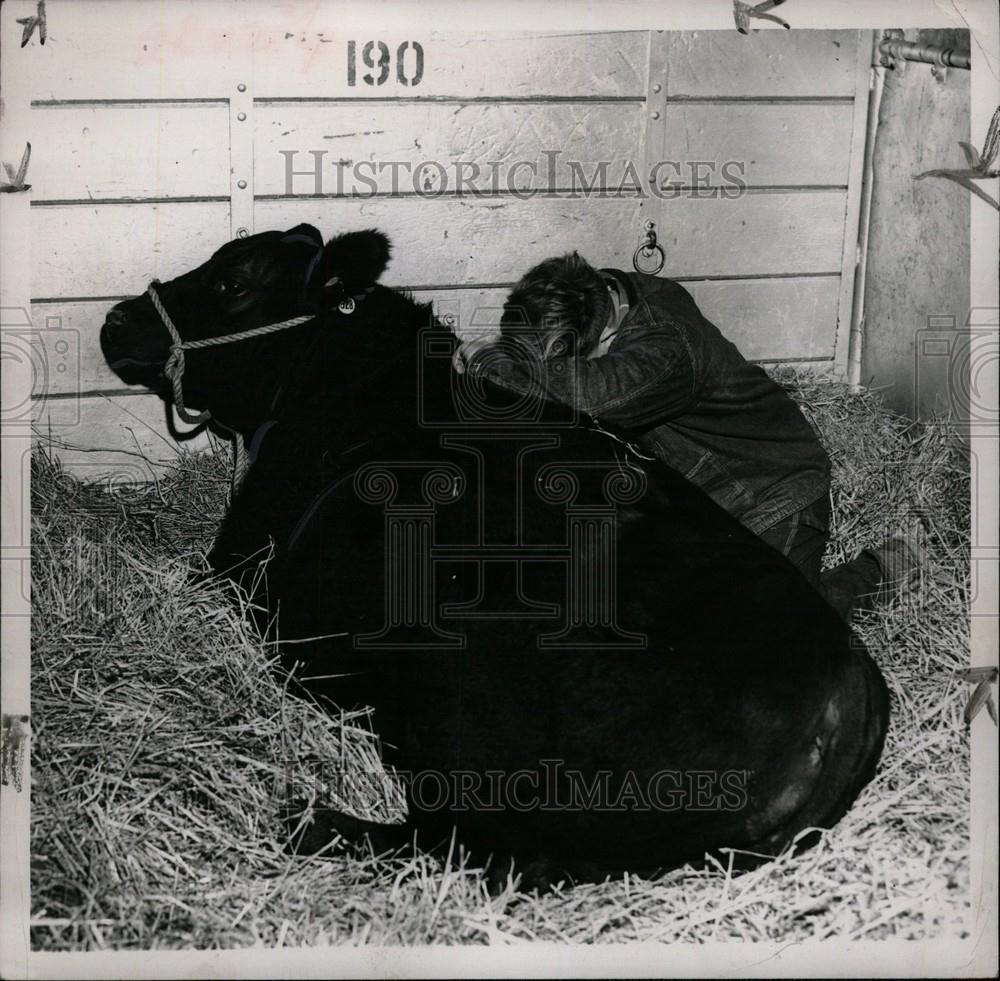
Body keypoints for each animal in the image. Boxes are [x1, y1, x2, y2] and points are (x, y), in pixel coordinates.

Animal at [97, 222, 888, 888]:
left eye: (235, 281)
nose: (118, 318)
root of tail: (848, 689)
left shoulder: (234, 564)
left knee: (471, 846)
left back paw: (314, 820)